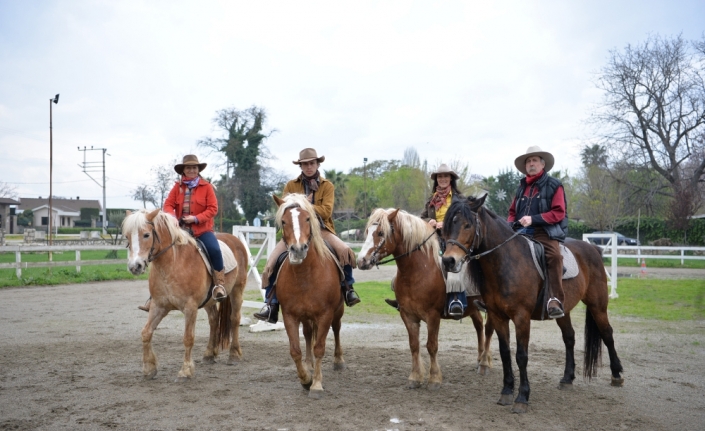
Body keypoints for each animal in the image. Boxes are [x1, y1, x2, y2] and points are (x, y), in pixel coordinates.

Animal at [122, 209, 249, 382]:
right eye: (127, 236)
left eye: (146, 235)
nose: (135, 266)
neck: (172, 263)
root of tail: (235, 239)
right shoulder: (158, 306)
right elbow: (146, 333)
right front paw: (149, 368)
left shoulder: (190, 308)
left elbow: (188, 338)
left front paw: (186, 370)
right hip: (209, 301)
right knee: (214, 320)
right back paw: (210, 354)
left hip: (237, 290)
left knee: (234, 319)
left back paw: (234, 354)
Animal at [270, 194, 346, 400]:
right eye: (284, 221)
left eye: (307, 219)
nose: (298, 249)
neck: (305, 275)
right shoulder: (290, 315)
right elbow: (295, 350)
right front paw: (305, 379)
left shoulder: (325, 314)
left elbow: (320, 347)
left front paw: (317, 384)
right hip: (305, 316)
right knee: (308, 333)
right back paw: (309, 364)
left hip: (337, 311)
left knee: (337, 329)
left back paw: (338, 360)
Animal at [354, 209, 492, 392]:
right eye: (368, 231)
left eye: (381, 233)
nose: (361, 261)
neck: (418, 270)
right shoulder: (408, 315)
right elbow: (414, 345)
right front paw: (415, 377)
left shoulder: (432, 316)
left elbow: (431, 346)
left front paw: (434, 379)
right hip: (473, 308)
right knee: (479, 326)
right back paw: (479, 359)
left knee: (489, 329)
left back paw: (485, 363)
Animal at [440, 196, 620, 416]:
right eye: (448, 226)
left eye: (467, 225)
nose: (449, 261)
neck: (506, 262)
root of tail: (592, 248)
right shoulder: (498, 316)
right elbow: (505, 353)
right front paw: (507, 391)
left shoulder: (521, 317)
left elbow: (521, 356)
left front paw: (522, 397)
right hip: (563, 310)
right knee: (569, 337)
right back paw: (567, 378)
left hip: (597, 305)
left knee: (607, 333)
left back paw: (617, 375)